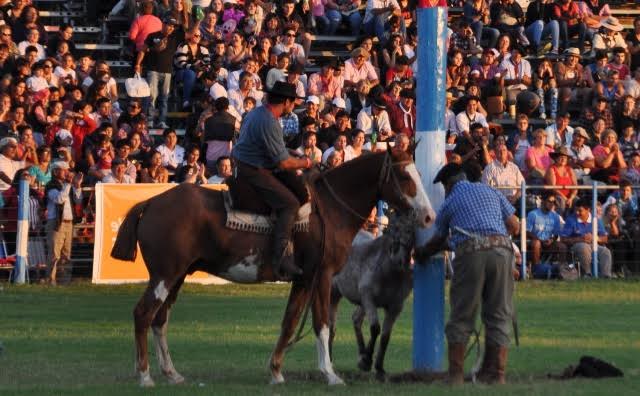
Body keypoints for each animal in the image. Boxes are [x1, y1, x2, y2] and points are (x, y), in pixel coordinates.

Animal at [111, 147, 436, 386]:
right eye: (404, 176)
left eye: (418, 174)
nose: (429, 216)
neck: (330, 210)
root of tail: (151, 202)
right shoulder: (322, 276)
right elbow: (322, 324)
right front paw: (330, 374)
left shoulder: (304, 279)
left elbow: (290, 322)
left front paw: (276, 371)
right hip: (164, 275)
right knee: (143, 314)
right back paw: (145, 376)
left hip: (177, 276)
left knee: (159, 320)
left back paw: (172, 373)